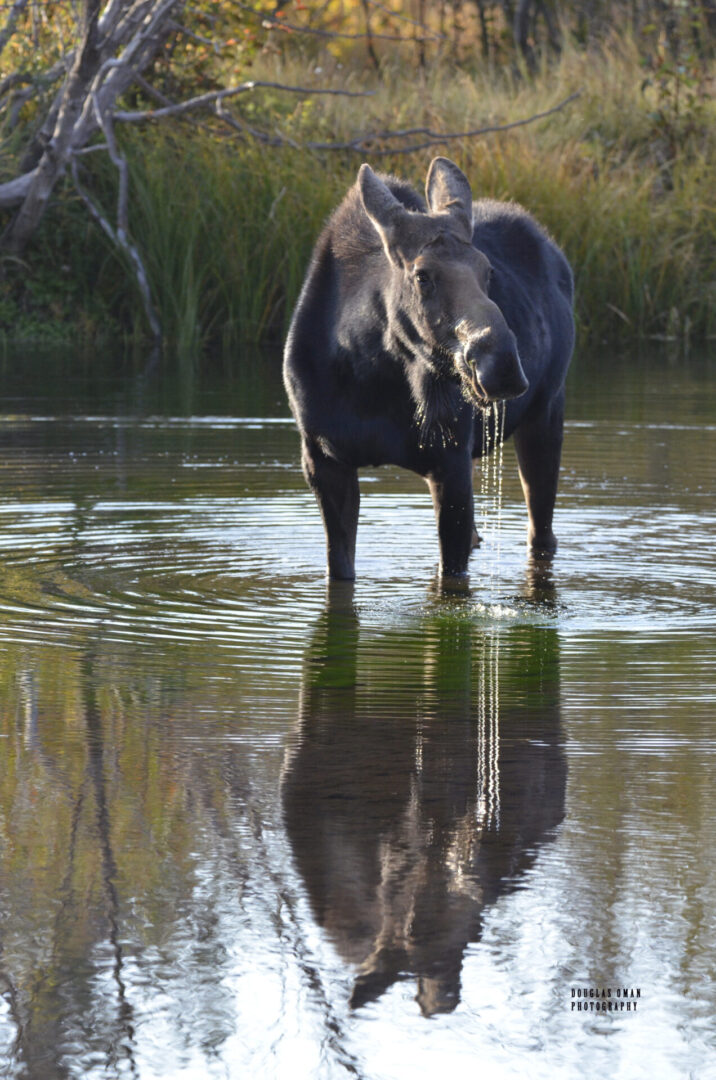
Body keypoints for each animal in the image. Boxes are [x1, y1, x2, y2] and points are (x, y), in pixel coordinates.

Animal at [282, 156, 574, 578]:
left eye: (488, 271)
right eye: (422, 276)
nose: (501, 364)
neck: (371, 374)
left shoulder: (449, 460)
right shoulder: (322, 459)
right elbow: (339, 568)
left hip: (547, 409)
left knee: (542, 534)